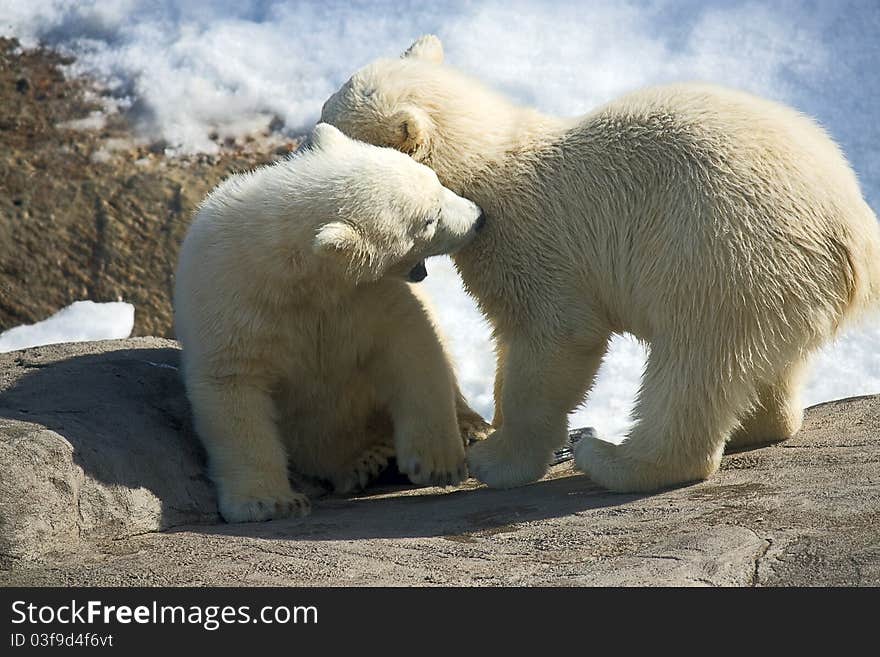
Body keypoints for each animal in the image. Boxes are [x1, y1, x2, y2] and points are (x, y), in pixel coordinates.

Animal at [172, 124, 488, 524]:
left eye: (435, 180)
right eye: (428, 220)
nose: (478, 217)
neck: (300, 281)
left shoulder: (366, 296)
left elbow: (412, 346)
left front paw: (438, 462)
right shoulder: (231, 303)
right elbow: (232, 387)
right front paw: (268, 502)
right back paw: (365, 461)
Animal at [320, 33, 880, 490]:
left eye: (328, 126)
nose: (304, 149)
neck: (492, 166)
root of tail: (853, 230)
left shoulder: (534, 243)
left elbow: (554, 339)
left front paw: (496, 460)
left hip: (724, 251)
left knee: (696, 358)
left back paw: (613, 457)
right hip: (783, 277)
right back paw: (755, 424)